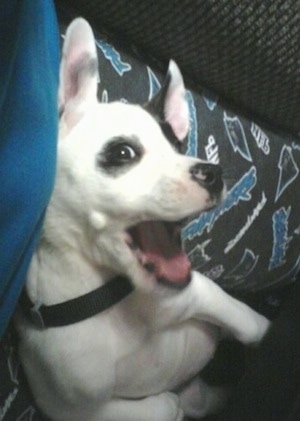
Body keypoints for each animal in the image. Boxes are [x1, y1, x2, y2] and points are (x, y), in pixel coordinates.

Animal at [15, 18, 270, 420]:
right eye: (123, 152)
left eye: (178, 146)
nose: (213, 173)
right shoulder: (73, 409)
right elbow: (162, 406)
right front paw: (173, 403)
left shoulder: (202, 293)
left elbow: (249, 323)